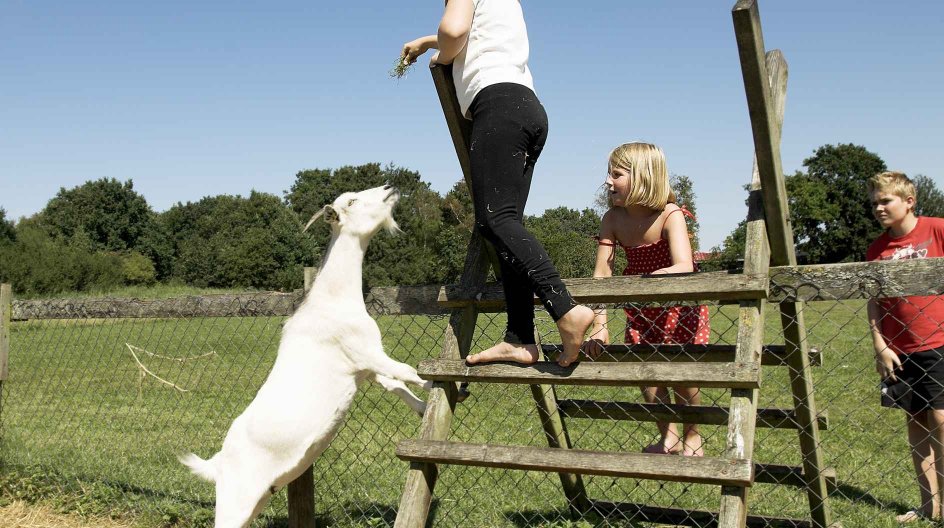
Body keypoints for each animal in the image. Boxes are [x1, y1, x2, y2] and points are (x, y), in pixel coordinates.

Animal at [180, 186, 432, 528]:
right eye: (351, 201)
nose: (389, 189)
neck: (333, 302)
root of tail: (217, 464)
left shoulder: (363, 368)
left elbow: (395, 385)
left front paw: (424, 408)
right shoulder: (366, 352)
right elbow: (406, 371)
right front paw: (447, 388)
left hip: (257, 499)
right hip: (236, 501)